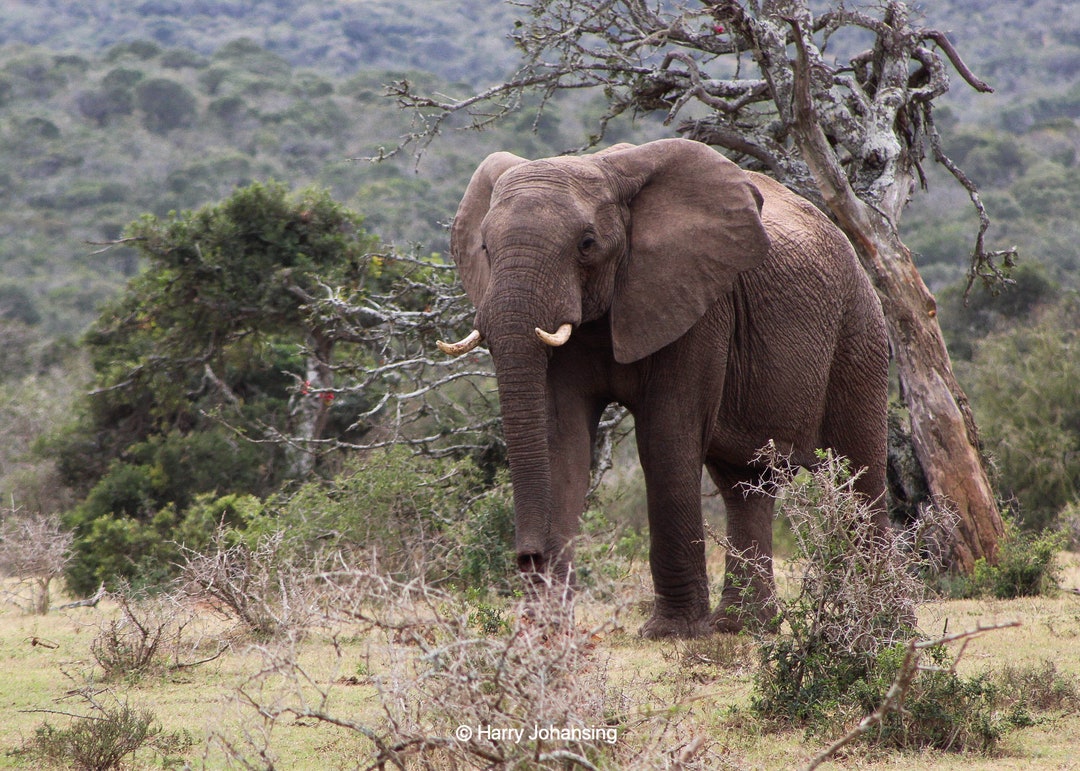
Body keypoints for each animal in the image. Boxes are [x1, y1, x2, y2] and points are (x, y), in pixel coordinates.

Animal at [438, 138, 889, 638]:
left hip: (859, 330)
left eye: (587, 244)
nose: (528, 557)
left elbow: (665, 436)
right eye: (484, 246)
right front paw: (544, 634)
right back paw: (742, 627)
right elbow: (562, 441)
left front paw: (671, 632)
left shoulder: (700, 304)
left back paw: (881, 623)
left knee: (859, 476)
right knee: (747, 484)